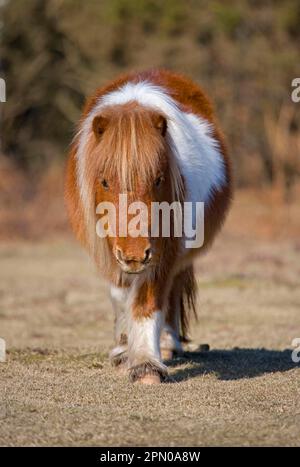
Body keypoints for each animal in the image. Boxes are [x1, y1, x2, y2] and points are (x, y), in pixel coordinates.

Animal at [64, 68, 231, 384]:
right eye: (105, 181)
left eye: (158, 179)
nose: (134, 255)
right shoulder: (110, 249)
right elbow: (120, 296)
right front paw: (123, 352)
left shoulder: (162, 252)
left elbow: (147, 301)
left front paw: (146, 365)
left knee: (171, 293)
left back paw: (167, 345)